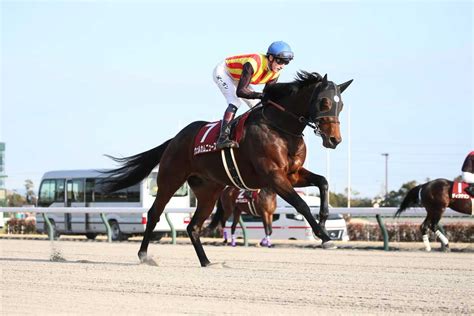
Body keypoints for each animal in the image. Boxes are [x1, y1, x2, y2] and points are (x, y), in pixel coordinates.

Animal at [102, 72, 352, 266]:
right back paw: (144, 255)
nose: (334, 139)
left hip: (209, 191)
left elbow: (322, 182)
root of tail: (175, 139)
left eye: (341, 105)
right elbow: (301, 204)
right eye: (324, 102)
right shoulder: (274, 175)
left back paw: (206, 262)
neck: (281, 127)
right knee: (154, 213)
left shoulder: (292, 174)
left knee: (194, 226)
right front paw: (324, 236)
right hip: (170, 179)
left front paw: (323, 221)